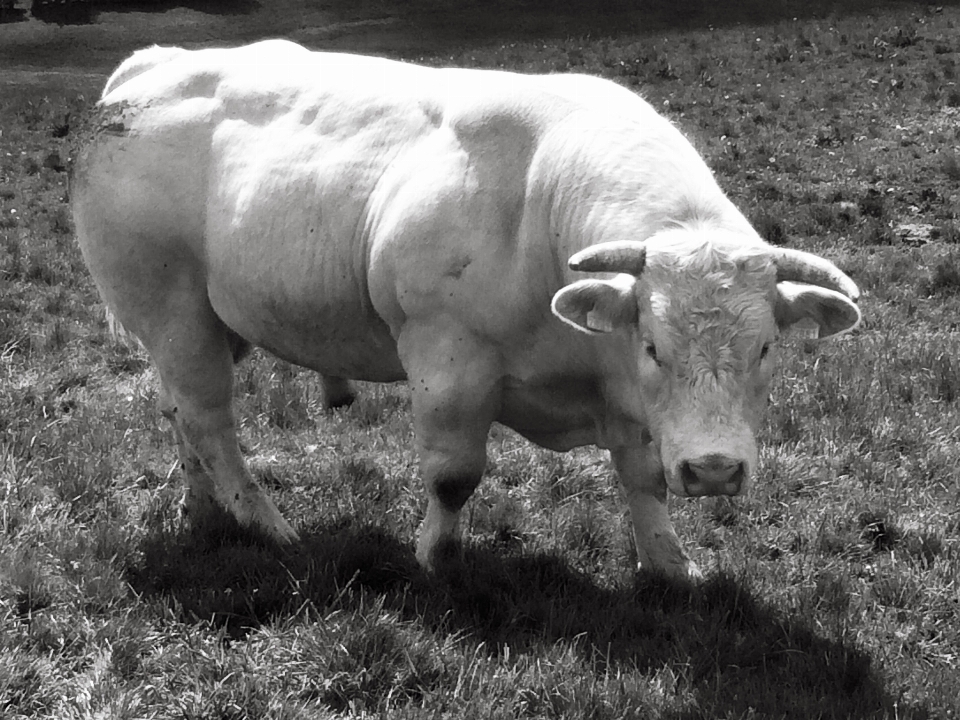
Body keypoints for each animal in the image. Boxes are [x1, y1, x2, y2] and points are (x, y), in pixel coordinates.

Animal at [71, 38, 860, 580]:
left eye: (766, 349)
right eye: (655, 347)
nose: (716, 470)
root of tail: (150, 67)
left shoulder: (629, 400)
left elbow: (644, 478)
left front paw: (670, 563)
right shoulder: (447, 361)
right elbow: (453, 476)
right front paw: (436, 557)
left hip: (208, 321)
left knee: (179, 414)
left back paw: (203, 511)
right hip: (171, 310)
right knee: (210, 419)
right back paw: (266, 523)